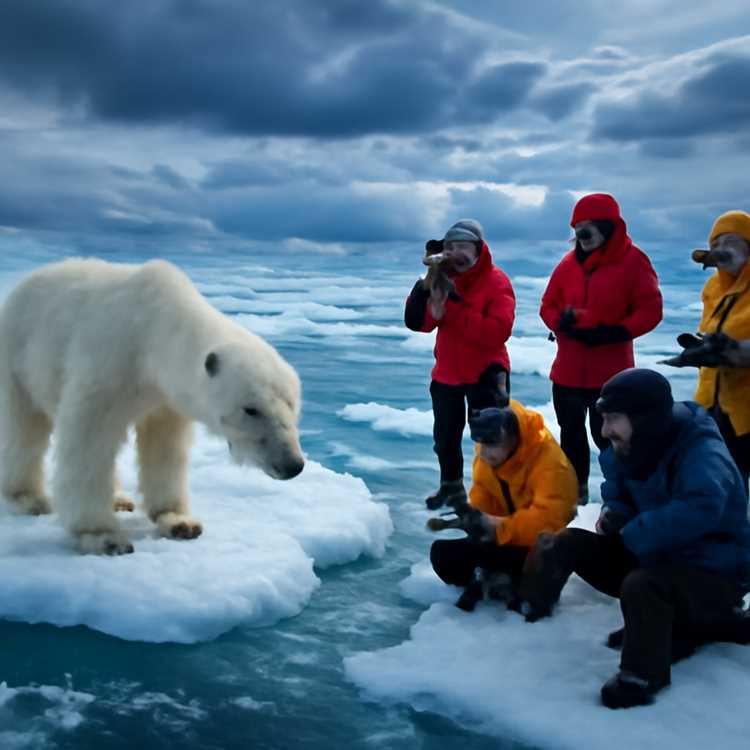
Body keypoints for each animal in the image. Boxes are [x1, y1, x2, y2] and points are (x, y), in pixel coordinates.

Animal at [0, 258, 304, 555]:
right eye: (251, 409)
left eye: (292, 404)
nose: (292, 465)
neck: (152, 330)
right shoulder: (108, 366)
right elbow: (88, 441)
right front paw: (102, 536)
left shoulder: (166, 398)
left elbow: (165, 448)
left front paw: (180, 522)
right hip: (17, 355)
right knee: (23, 429)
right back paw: (28, 497)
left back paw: (119, 499)